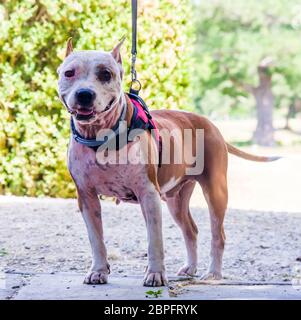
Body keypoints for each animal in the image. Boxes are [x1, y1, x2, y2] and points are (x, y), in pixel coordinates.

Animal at [57, 39, 278, 288]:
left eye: (105, 74)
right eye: (69, 73)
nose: (84, 94)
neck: (101, 136)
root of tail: (211, 125)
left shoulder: (149, 195)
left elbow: (155, 241)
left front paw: (155, 274)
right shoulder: (86, 197)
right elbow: (96, 239)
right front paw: (98, 271)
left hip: (216, 191)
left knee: (218, 235)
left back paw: (213, 273)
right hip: (176, 199)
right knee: (191, 231)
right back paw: (190, 268)